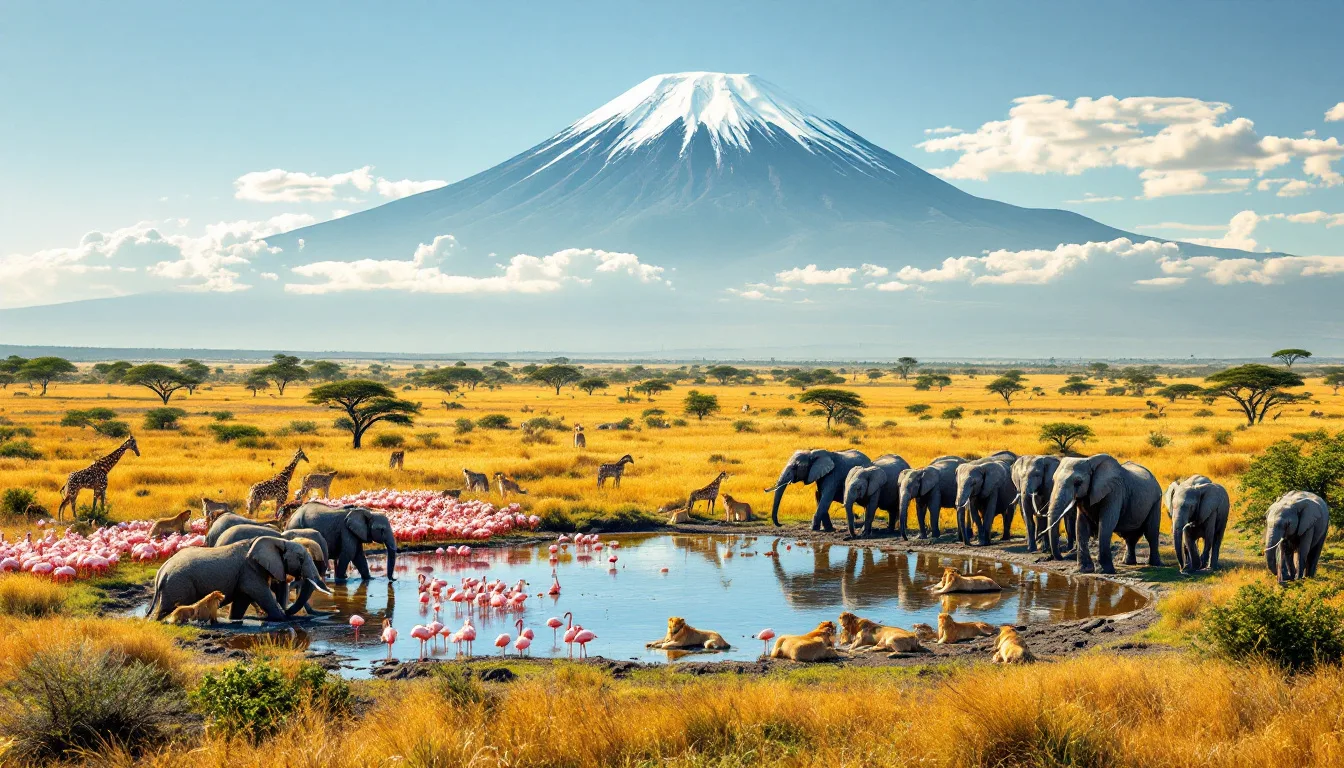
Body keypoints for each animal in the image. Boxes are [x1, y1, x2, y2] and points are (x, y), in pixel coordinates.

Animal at [147, 537, 329, 622]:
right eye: (301, 558)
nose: (287, 611)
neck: (279, 540)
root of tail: (161, 571)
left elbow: (242, 599)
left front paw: (234, 619)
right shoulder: (250, 570)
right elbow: (260, 593)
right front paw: (281, 618)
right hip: (178, 584)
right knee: (166, 609)